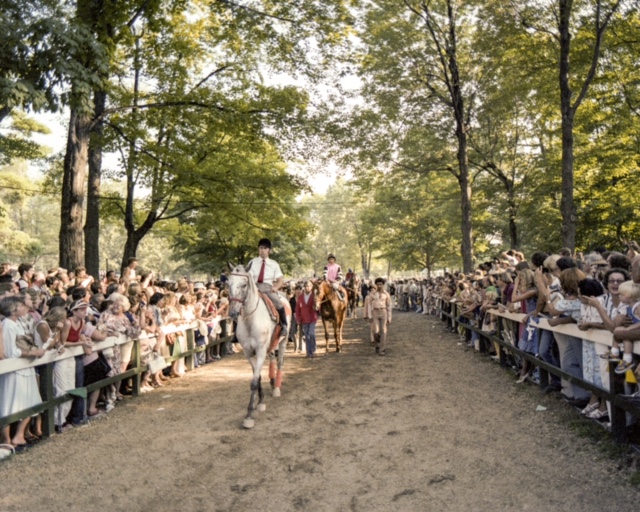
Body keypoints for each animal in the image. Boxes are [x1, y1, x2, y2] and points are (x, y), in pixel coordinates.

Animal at [228, 264, 290, 428]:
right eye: (228, 283)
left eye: (244, 285)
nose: (233, 312)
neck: (251, 319)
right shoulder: (248, 352)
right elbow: (259, 377)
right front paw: (260, 401)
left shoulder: (260, 351)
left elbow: (254, 381)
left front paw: (249, 414)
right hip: (272, 344)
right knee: (273, 358)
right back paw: (273, 381)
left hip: (283, 341)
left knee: (280, 362)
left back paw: (277, 387)